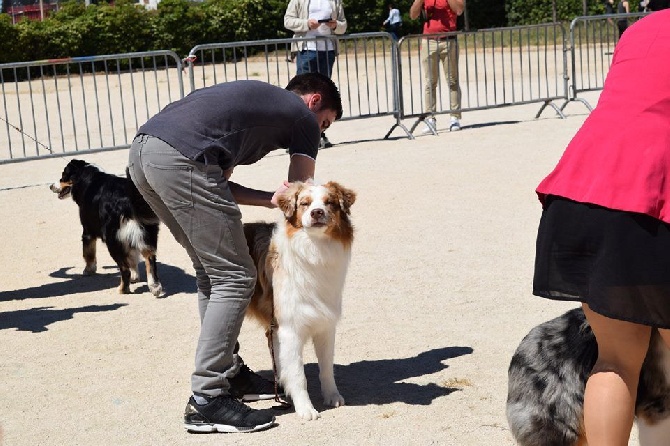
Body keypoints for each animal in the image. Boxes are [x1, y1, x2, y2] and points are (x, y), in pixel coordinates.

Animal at [50, 159, 164, 298]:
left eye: (63, 175)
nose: (51, 186)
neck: (86, 177)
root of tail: (128, 202)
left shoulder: (88, 231)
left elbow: (88, 254)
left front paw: (88, 270)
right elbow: (133, 259)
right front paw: (136, 277)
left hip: (113, 240)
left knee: (125, 269)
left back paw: (123, 289)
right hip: (147, 234)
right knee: (150, 260)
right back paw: (154, 287)